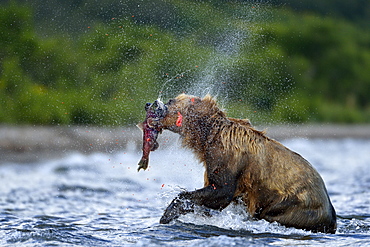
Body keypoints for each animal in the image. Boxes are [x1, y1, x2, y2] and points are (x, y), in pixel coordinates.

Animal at [146, 93, 336, 233]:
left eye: (170, 100)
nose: (148, 103)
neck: (207, 137)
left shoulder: (227, 158)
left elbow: (221, 191)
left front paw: (168, 214)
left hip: (294, 205)